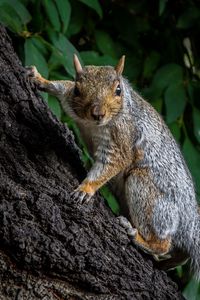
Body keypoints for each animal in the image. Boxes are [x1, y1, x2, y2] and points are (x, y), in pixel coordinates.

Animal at [27, 55, 200, 278]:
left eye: (118, 90)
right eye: (78, 89)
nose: (97, 113)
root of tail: (188, 219)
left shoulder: (122, 141)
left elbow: (110, 164)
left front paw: (85, 189)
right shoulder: (71, 102)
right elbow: (63, 87)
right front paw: (40, 79)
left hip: (150, 196)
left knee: (163, 244)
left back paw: (138, 237)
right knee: (179, 254)